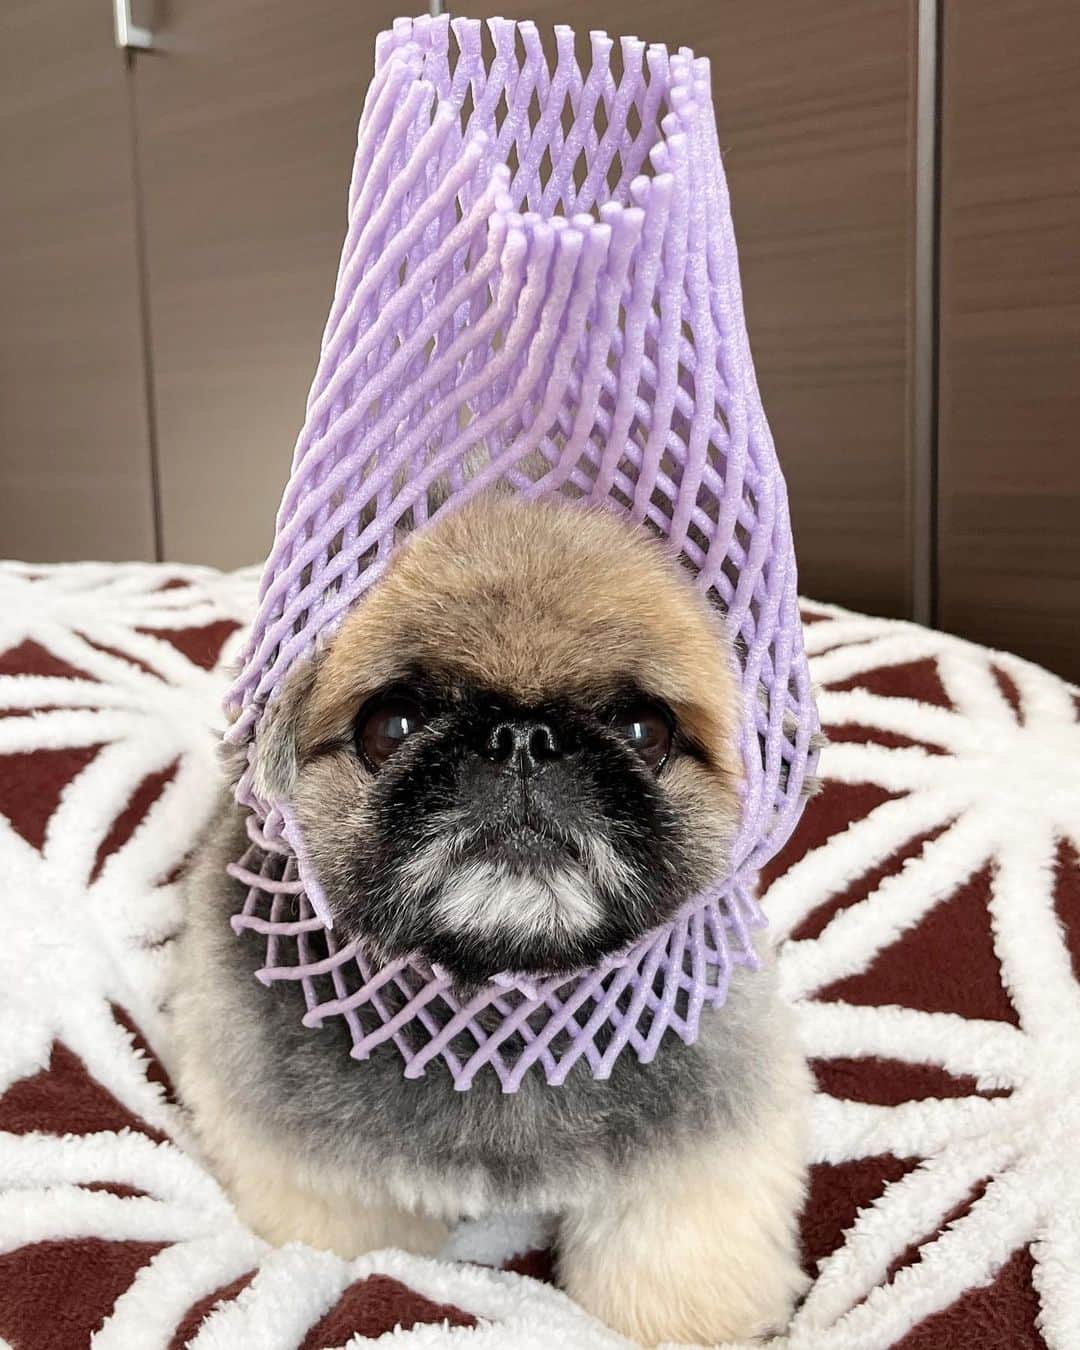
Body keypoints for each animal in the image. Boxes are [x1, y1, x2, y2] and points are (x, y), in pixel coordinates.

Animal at [173, 491, 810, 1345]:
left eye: (645, 729)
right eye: (391, 724)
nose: (523, 739)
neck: (501, 1018)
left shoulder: (705, 1137)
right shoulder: (310, 1159)